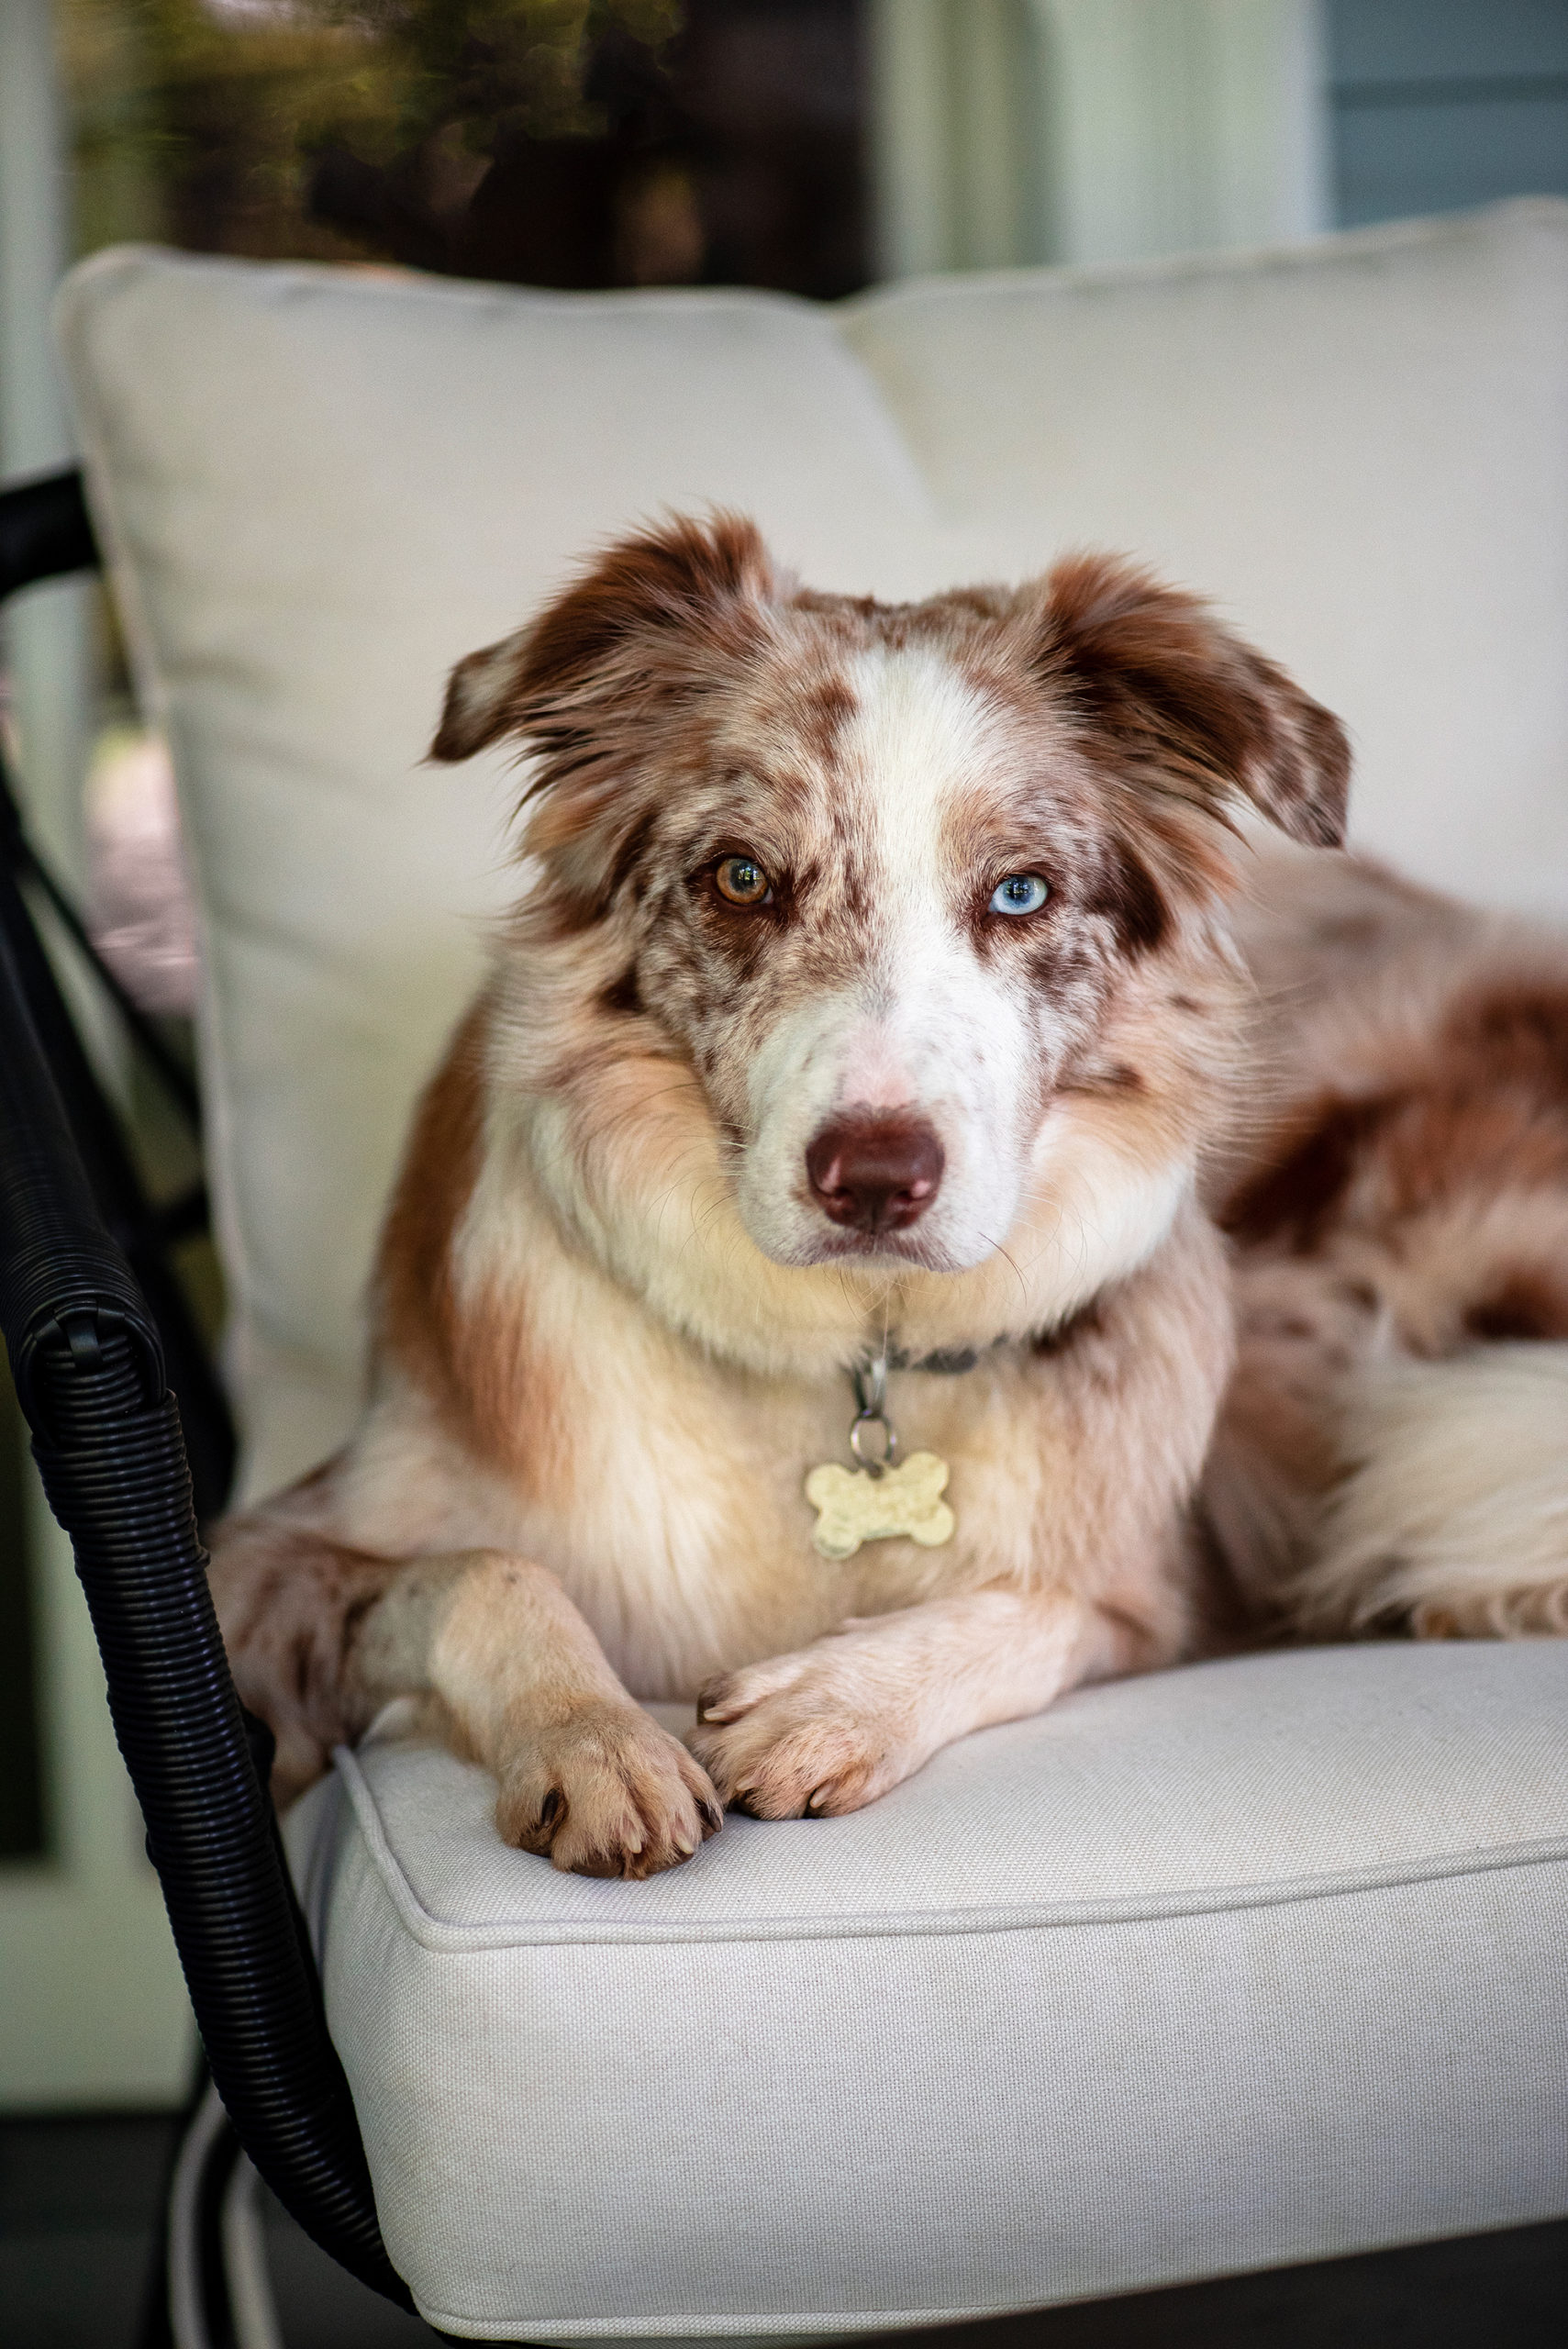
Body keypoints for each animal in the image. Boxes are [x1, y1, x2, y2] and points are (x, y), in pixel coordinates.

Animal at [207, 514, 1568, 1869]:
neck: (850, 1357)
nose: (873, 1181)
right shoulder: (249, 1565)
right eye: (741, 879)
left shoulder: (1153, 1588)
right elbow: (485, 1571)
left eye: (1018, 892)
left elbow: (1033, 1603)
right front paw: (593, 1741)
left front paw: (836, 1698)